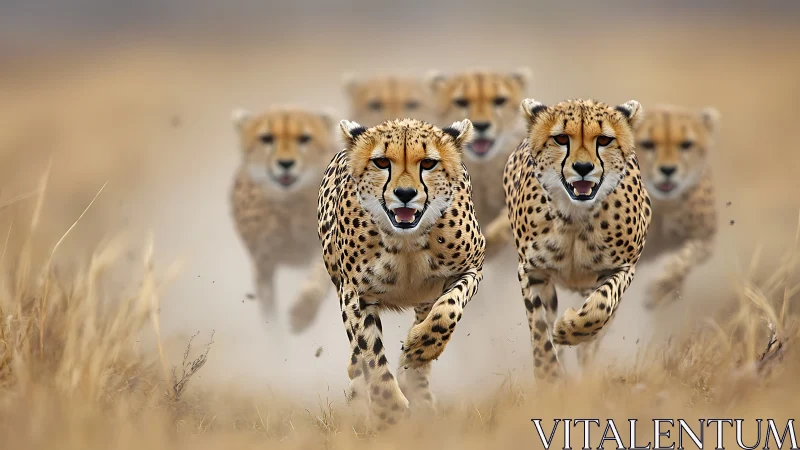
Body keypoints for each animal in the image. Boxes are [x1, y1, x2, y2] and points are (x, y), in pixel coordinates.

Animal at [230, 107, 337, 333]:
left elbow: (317, 276)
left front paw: (303, 312)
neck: (289, 204)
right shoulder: (263, 265)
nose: (286, 164)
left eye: (304, 138)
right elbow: (271, 321)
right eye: (266, 138)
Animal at [317, 117, 485, 428]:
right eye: (382, 162)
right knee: (358, 353)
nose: (405, 194)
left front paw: (421, 348)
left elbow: (448, 310)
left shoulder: (472, 269)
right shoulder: (356, 294)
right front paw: (388, 410)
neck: (407, 239)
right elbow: (370, 351)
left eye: (428, 163)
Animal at [503, 98, 652, 381]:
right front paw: (549, 375)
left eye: (604, 140)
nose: (583, 168)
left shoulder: (622, 267)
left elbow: (600, 306)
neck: (574, 216)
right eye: (561, 138)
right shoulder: (532, 271)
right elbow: (540, 329)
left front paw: (571, 329)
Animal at [633, 105, 720, 309]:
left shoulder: (707, 238)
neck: (663, 204)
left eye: (686, 144)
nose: (668, 170)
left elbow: (687, 257)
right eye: (648, 144)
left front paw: (663, 288)